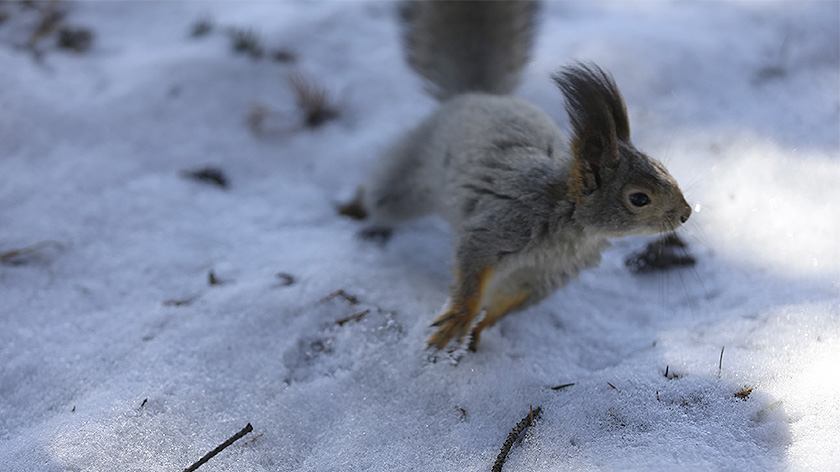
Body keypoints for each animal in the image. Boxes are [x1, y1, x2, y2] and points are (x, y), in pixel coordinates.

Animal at [338, 0, 692, 350]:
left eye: (666, 170)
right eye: (639, 198)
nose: (686, 214)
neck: (571, 224)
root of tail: (477, 95)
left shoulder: (543, 276)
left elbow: (505, 302)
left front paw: (479, 328)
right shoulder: (499, 228)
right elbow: (472, 269)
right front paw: (460, 318)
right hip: (406, 182)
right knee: (379, 194)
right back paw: (352, 207)